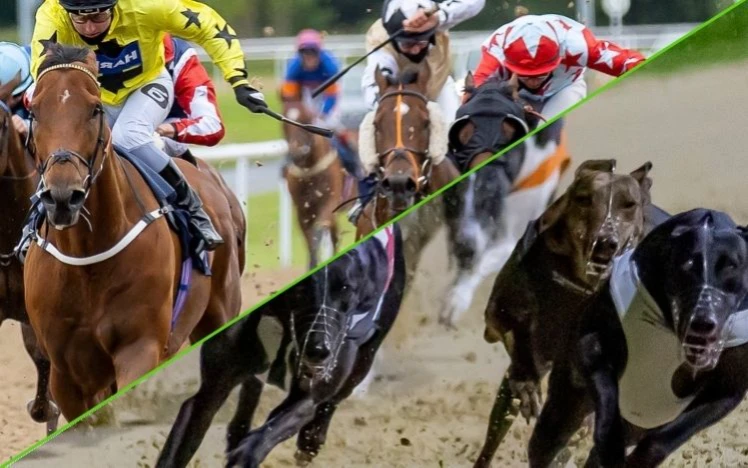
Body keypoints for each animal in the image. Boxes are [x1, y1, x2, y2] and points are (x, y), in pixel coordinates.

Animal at [22, 44, 245, 423]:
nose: (63, 196)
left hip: (219, 312)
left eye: (95, 109)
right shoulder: (66, 373)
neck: (87, 259)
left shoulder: (140, 347)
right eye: (34, 112)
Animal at [155, 224, 406, 468]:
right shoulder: (210, 391)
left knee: (334, 398)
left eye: (347, 289)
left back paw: (310, 440)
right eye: (303, 289)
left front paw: (246, 453)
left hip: (363, 360)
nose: (319, 351)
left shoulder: (308, 395)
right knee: (252, 388)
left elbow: (279, 423)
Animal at [281, 98, 346, 269]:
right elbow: (309, 240)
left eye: (308, 118)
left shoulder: (330, 203)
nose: (297, 153)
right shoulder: (302, 211)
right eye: (284, 122)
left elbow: (318, 231)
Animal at [473, 159, 659, 468]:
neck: (583, 283)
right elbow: (513, 332)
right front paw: (528, 388)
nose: (605, 241)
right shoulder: (505, 314)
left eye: (629, 204)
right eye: (584, 199)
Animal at [529, 208, 748, 467]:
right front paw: (611, 445)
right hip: (565, 405)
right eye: (687, 265)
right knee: (545, 442)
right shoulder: (591, 344)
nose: (703, 321)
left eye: (732, 265)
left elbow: (666, 438)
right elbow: (608, 397)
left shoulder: (726, 391)